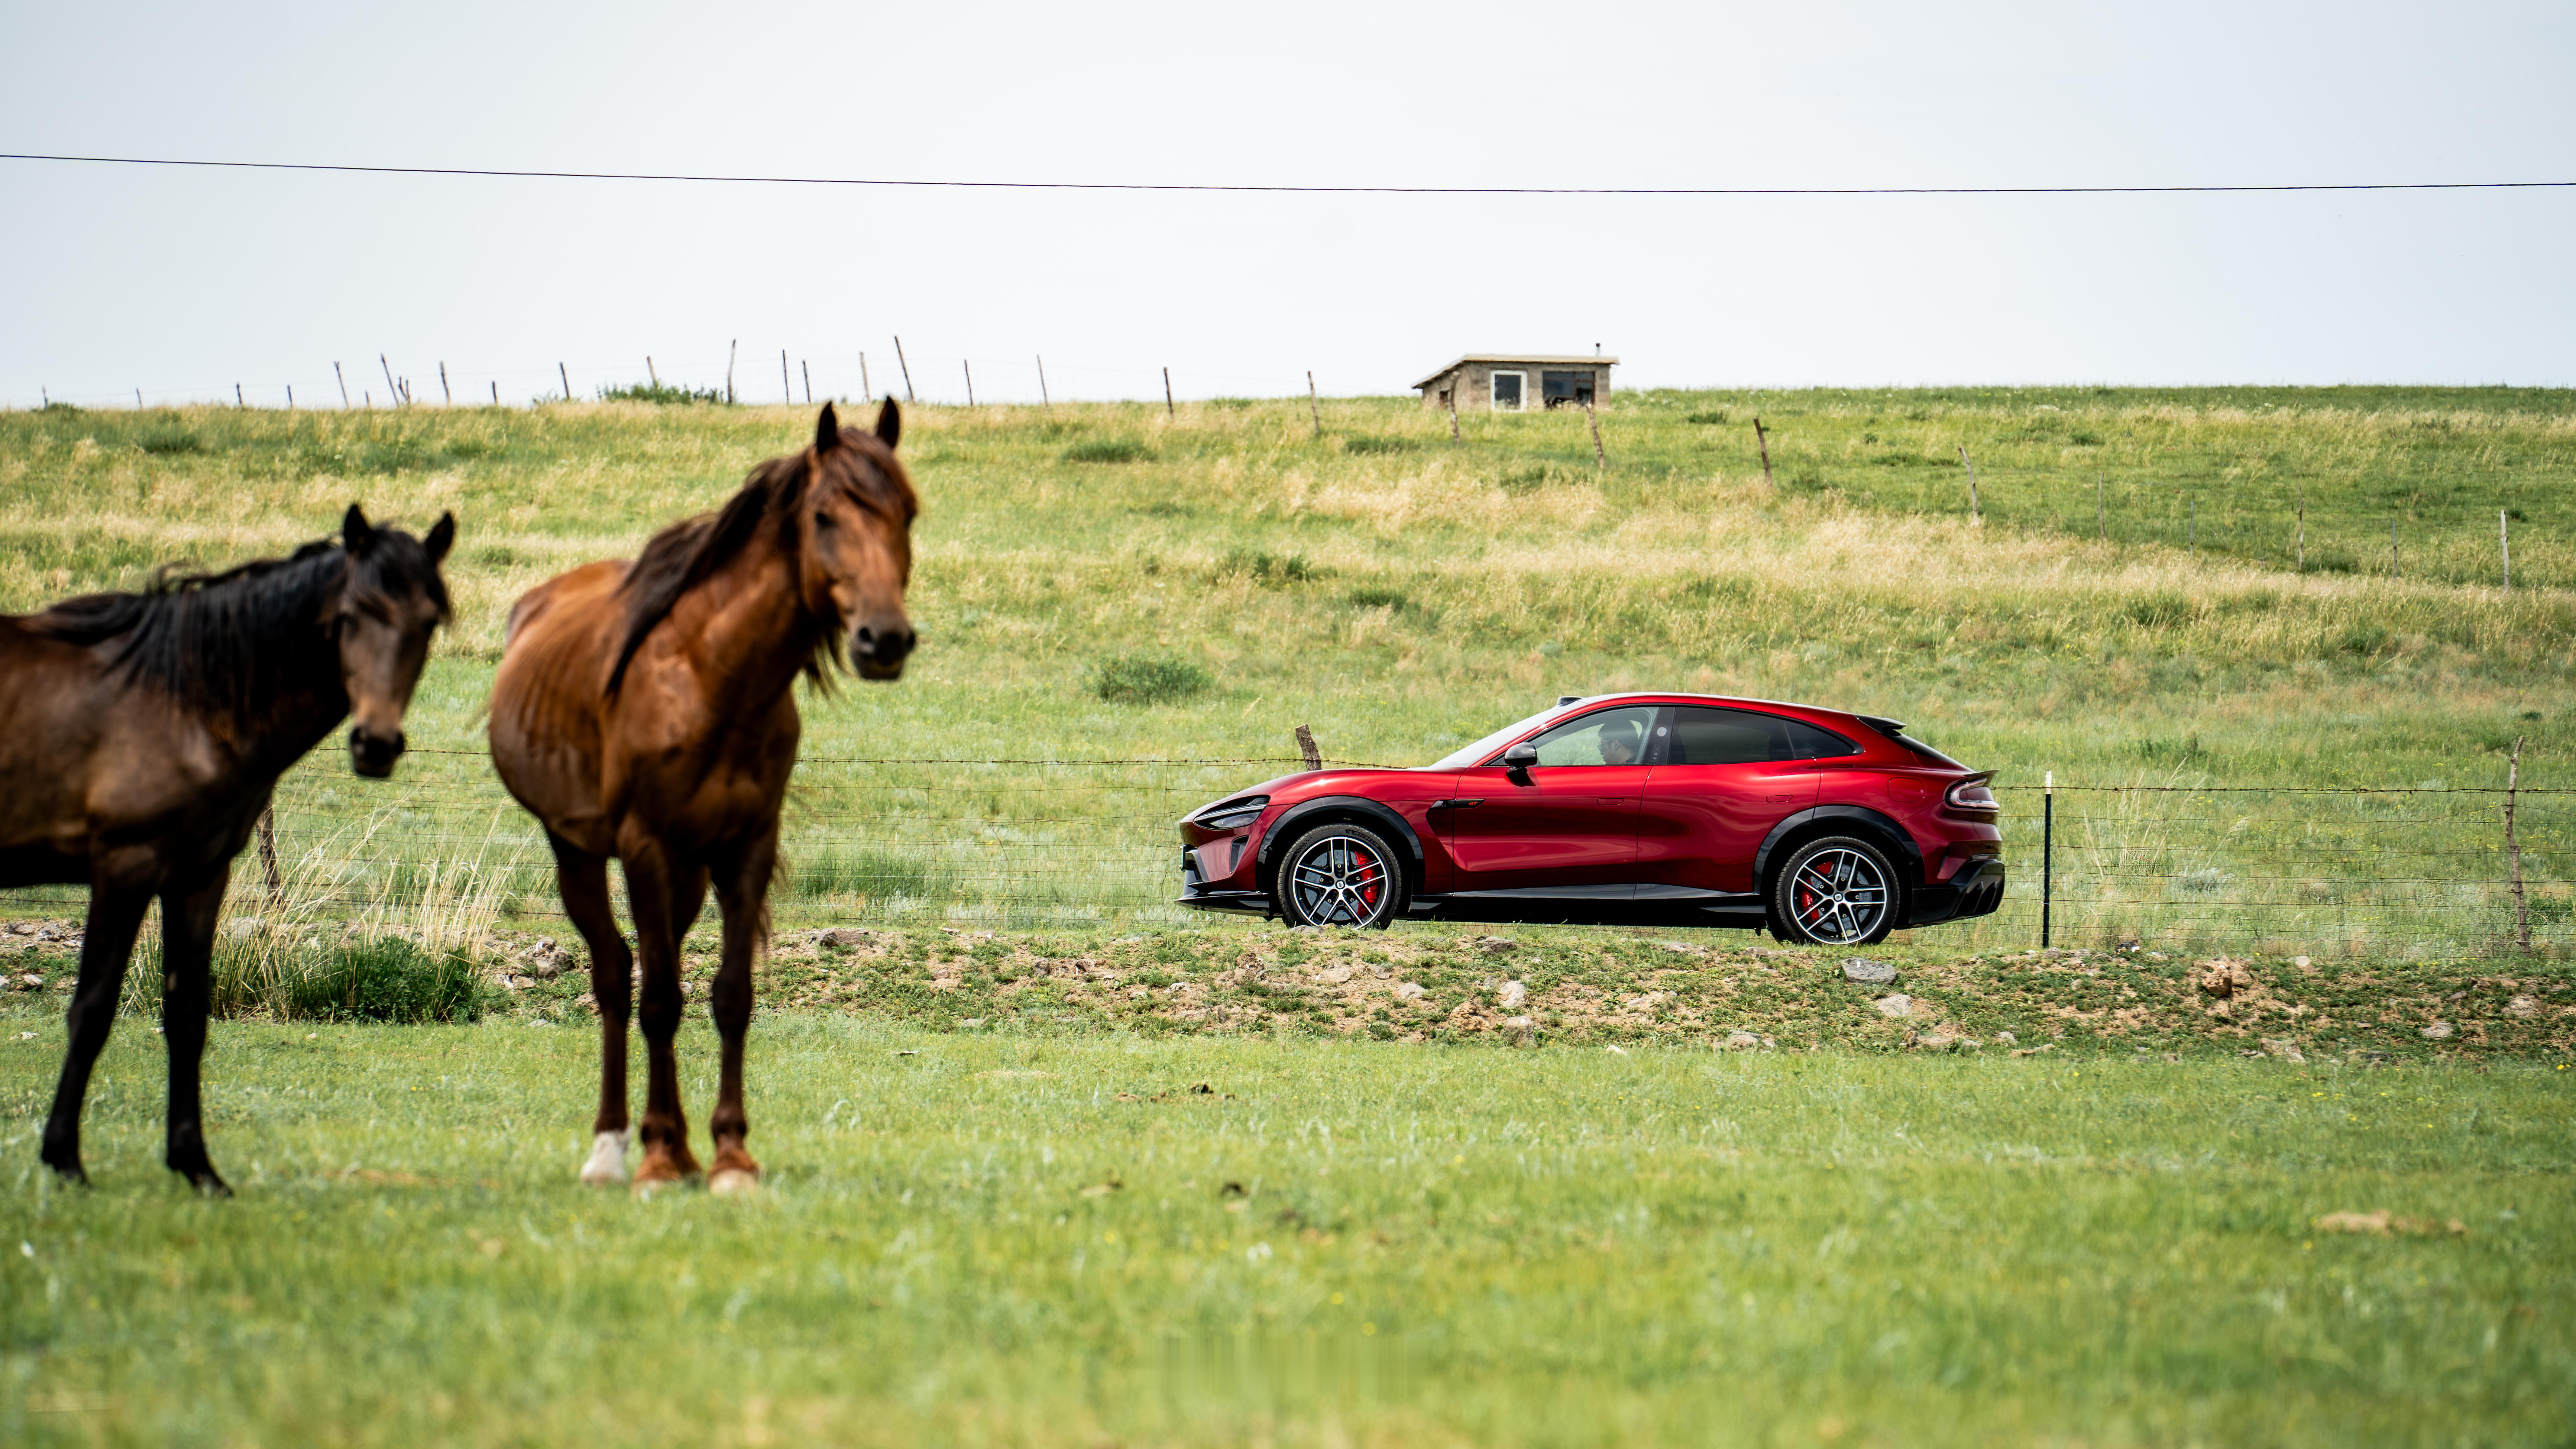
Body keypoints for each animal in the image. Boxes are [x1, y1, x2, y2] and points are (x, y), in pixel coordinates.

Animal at [4, 505, 456, 1193]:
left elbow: (188, 1011)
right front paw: (65, 1158)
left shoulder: (199, 871)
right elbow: (93, 1008)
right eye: (350, 614)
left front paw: (196, 1165)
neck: (185, 695)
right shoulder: (125, 864)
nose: (375, 744)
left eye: (429, 621)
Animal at [488, 402, 916, 1193]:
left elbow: (729, 995)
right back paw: (614, 1148)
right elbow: (658, 999)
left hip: (684, 874)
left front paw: (728, 1154)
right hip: (581, 853)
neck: (716, 678)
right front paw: (659, 1156)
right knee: (616, 976)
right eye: (823, 515)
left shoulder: (746, 849)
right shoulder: (645, 846)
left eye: (906, 511)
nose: (885, 638)